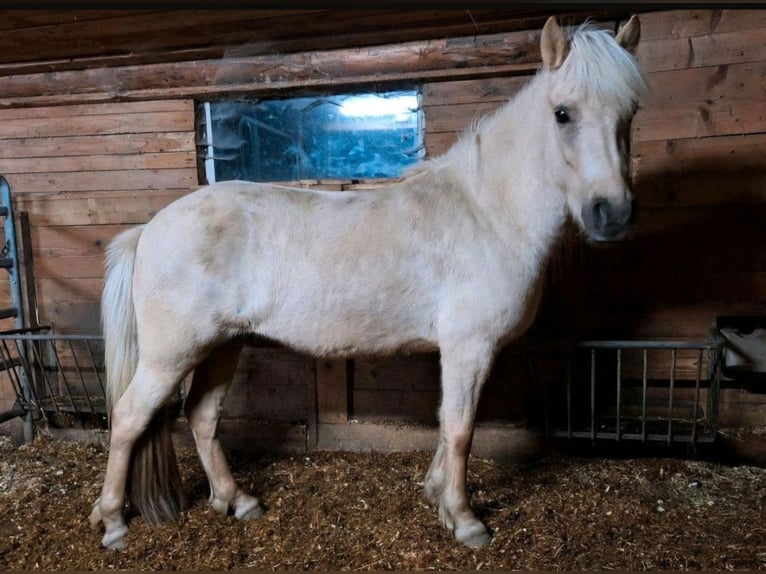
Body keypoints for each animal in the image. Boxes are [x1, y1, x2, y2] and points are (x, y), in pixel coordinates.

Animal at [90, 15, 648, 552]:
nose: (611, 213)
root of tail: (149, 228)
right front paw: (465, 521)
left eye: (631, 113)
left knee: (203, 417)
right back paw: (113, 522)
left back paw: (236, 501)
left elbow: (446, 425)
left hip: (223, 345)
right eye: (563, 113)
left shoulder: (458, 351)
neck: (488, 212)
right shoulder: (469, 347)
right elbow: (461, 430)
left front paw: (437, 497)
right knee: (128, 419)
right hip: (172, 354)